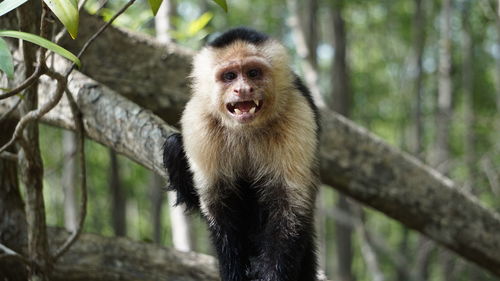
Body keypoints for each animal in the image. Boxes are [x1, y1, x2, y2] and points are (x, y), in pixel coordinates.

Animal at [164, 26, 320, 280]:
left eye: (253, 72)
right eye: (230, 76)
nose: (243, 89)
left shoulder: (297, 111)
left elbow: (289, 205)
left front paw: (271, 275)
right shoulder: (198, 120)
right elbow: (219, 205)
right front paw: (233, 271)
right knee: (173, 147)